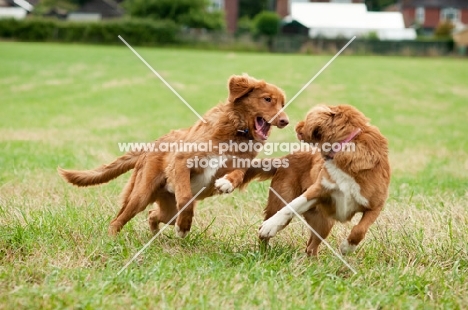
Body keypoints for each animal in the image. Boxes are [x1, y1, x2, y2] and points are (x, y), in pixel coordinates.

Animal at [58, 74, 288, 236]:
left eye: (283, 104)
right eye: (268, 99)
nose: (285, 121)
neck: (236, 132)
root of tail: (150, 145)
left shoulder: (240, 163)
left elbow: (238, 173)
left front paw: (227, 183)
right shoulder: (182, 161)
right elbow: (186, 196)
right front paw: (184, 227)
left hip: (168, 211)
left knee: (152, 214)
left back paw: (155, 235)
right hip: (141, 196)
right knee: (118, 220)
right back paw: (113, 239)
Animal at [258, 105, 390, 256]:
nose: (296, 124)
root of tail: (285, 157)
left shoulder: (376, 206)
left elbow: (360, 230)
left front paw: (347, 247)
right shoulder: (318, 190)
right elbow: (292, 206)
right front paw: (270, 226)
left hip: (324, 223)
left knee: (311, 247)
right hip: (281, 201)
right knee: (268, 233)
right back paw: (264, 251)